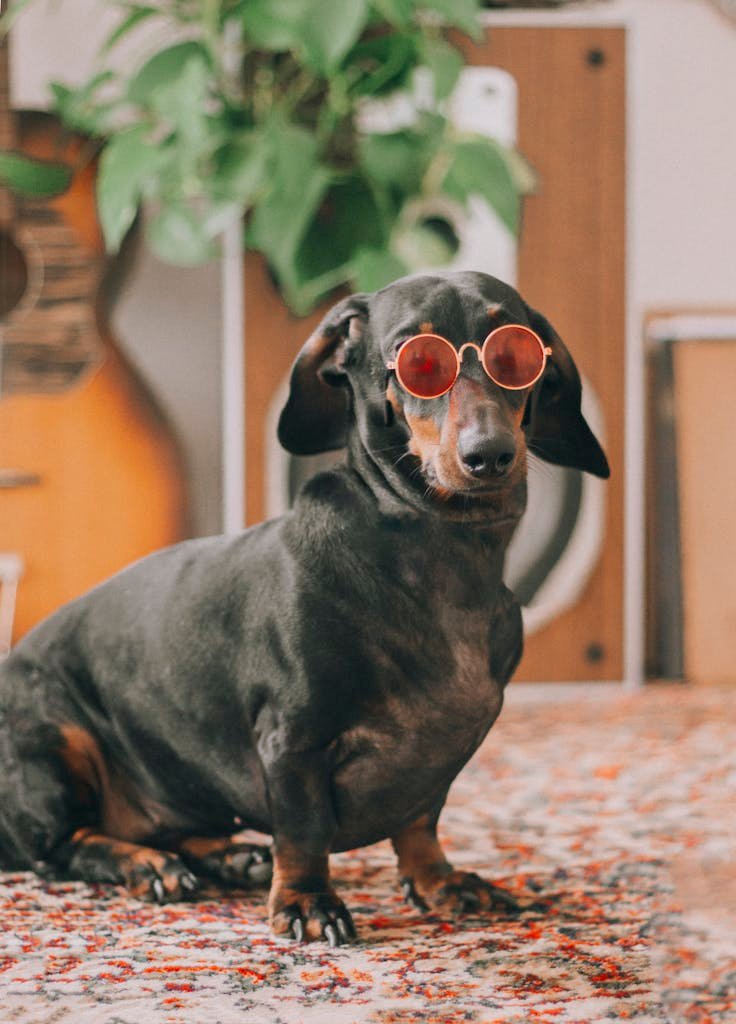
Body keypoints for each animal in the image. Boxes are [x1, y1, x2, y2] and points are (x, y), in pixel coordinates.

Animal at [0, 270, 605, 942]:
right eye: (418, 362)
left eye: (516, 354)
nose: (489, 454)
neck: (439, 553)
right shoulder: (291, 738)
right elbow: (304, 829)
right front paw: (307, 901)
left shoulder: (439, 760)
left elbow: (420, 821)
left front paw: (439, 882)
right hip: (49, 742)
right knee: (63, 846)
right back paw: (148, 864)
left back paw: (227, 856)